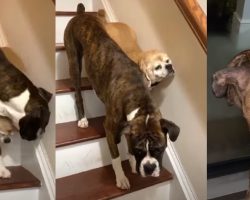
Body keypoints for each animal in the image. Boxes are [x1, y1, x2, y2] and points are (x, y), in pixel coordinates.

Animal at [63, 3, 179, 190]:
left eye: (160, 149)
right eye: (140, 150)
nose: (149, 167)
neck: (138, 95)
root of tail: (81, 14)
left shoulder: (128, 127)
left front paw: (132, 163)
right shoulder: (110, 129)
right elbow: (116, 157)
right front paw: (121, 177)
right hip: (74, 61)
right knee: (78, 93)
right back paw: (82, 119)